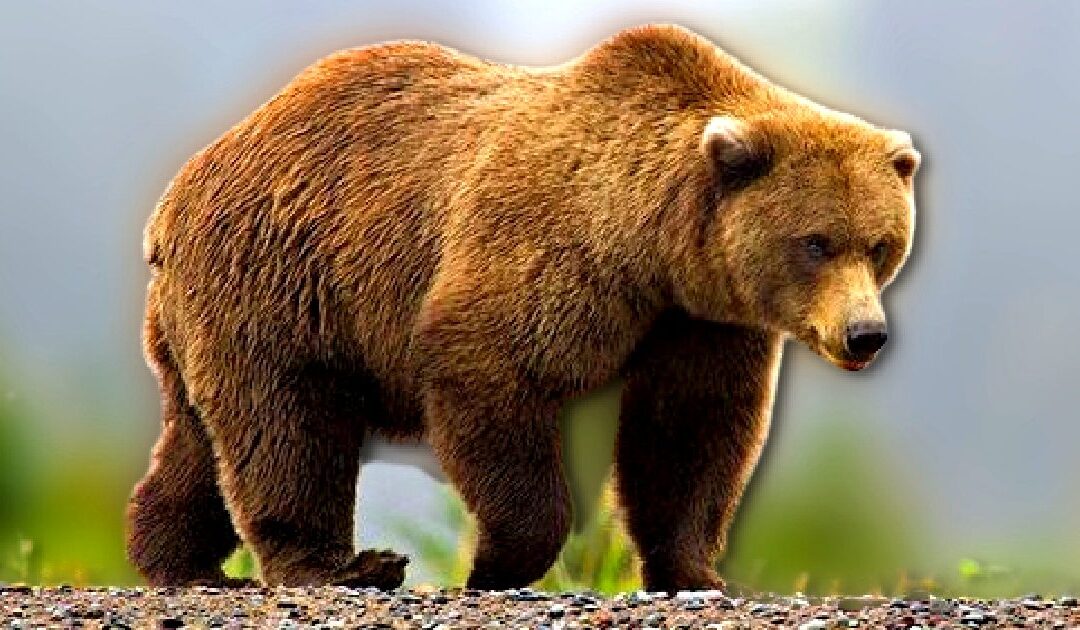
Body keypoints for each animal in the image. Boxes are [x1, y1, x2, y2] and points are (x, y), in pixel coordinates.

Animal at [127, 24, 919, 592]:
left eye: (881, 244)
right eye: (815, 242)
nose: (865, 334)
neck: (652, 244)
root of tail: (177, 192)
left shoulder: (700, 319)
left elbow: (690, 432)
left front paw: (697, 572)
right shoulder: (550, 248)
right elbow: (490, 367)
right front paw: (495, 563)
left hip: (212, 310)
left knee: (199, 439)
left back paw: (177, 561)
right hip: (283, 276)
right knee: (287, 423)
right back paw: (341, 567)